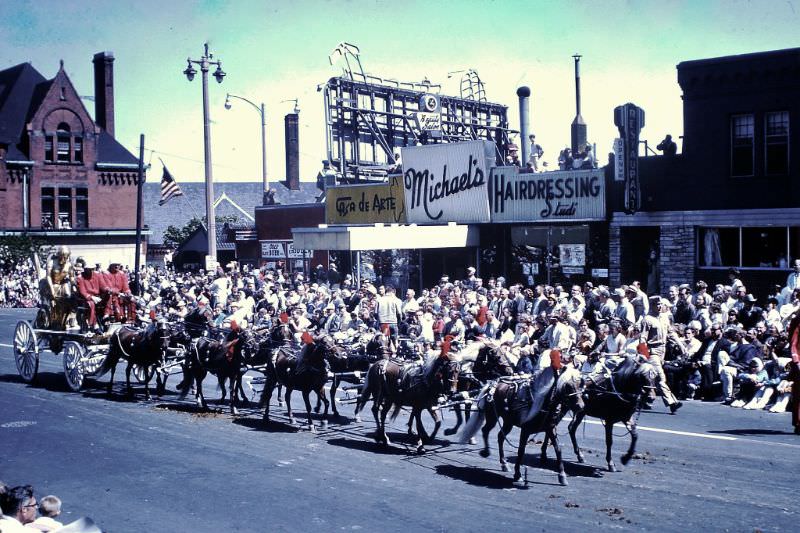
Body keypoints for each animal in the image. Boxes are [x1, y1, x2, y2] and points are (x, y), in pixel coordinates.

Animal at [460, 356, 584, 484]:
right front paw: (518, 474)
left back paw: (504, 463)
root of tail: (492, 384)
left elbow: (558, 449)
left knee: (500, 436)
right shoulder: (525, 430)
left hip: (508, 421)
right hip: (492, 416)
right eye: (567, 385)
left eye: (580, 383)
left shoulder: (550, 428)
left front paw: (562, 475)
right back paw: (486, 451)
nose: (581, 406)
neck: (541, 402)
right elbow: (521, 451)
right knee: (485, 430)